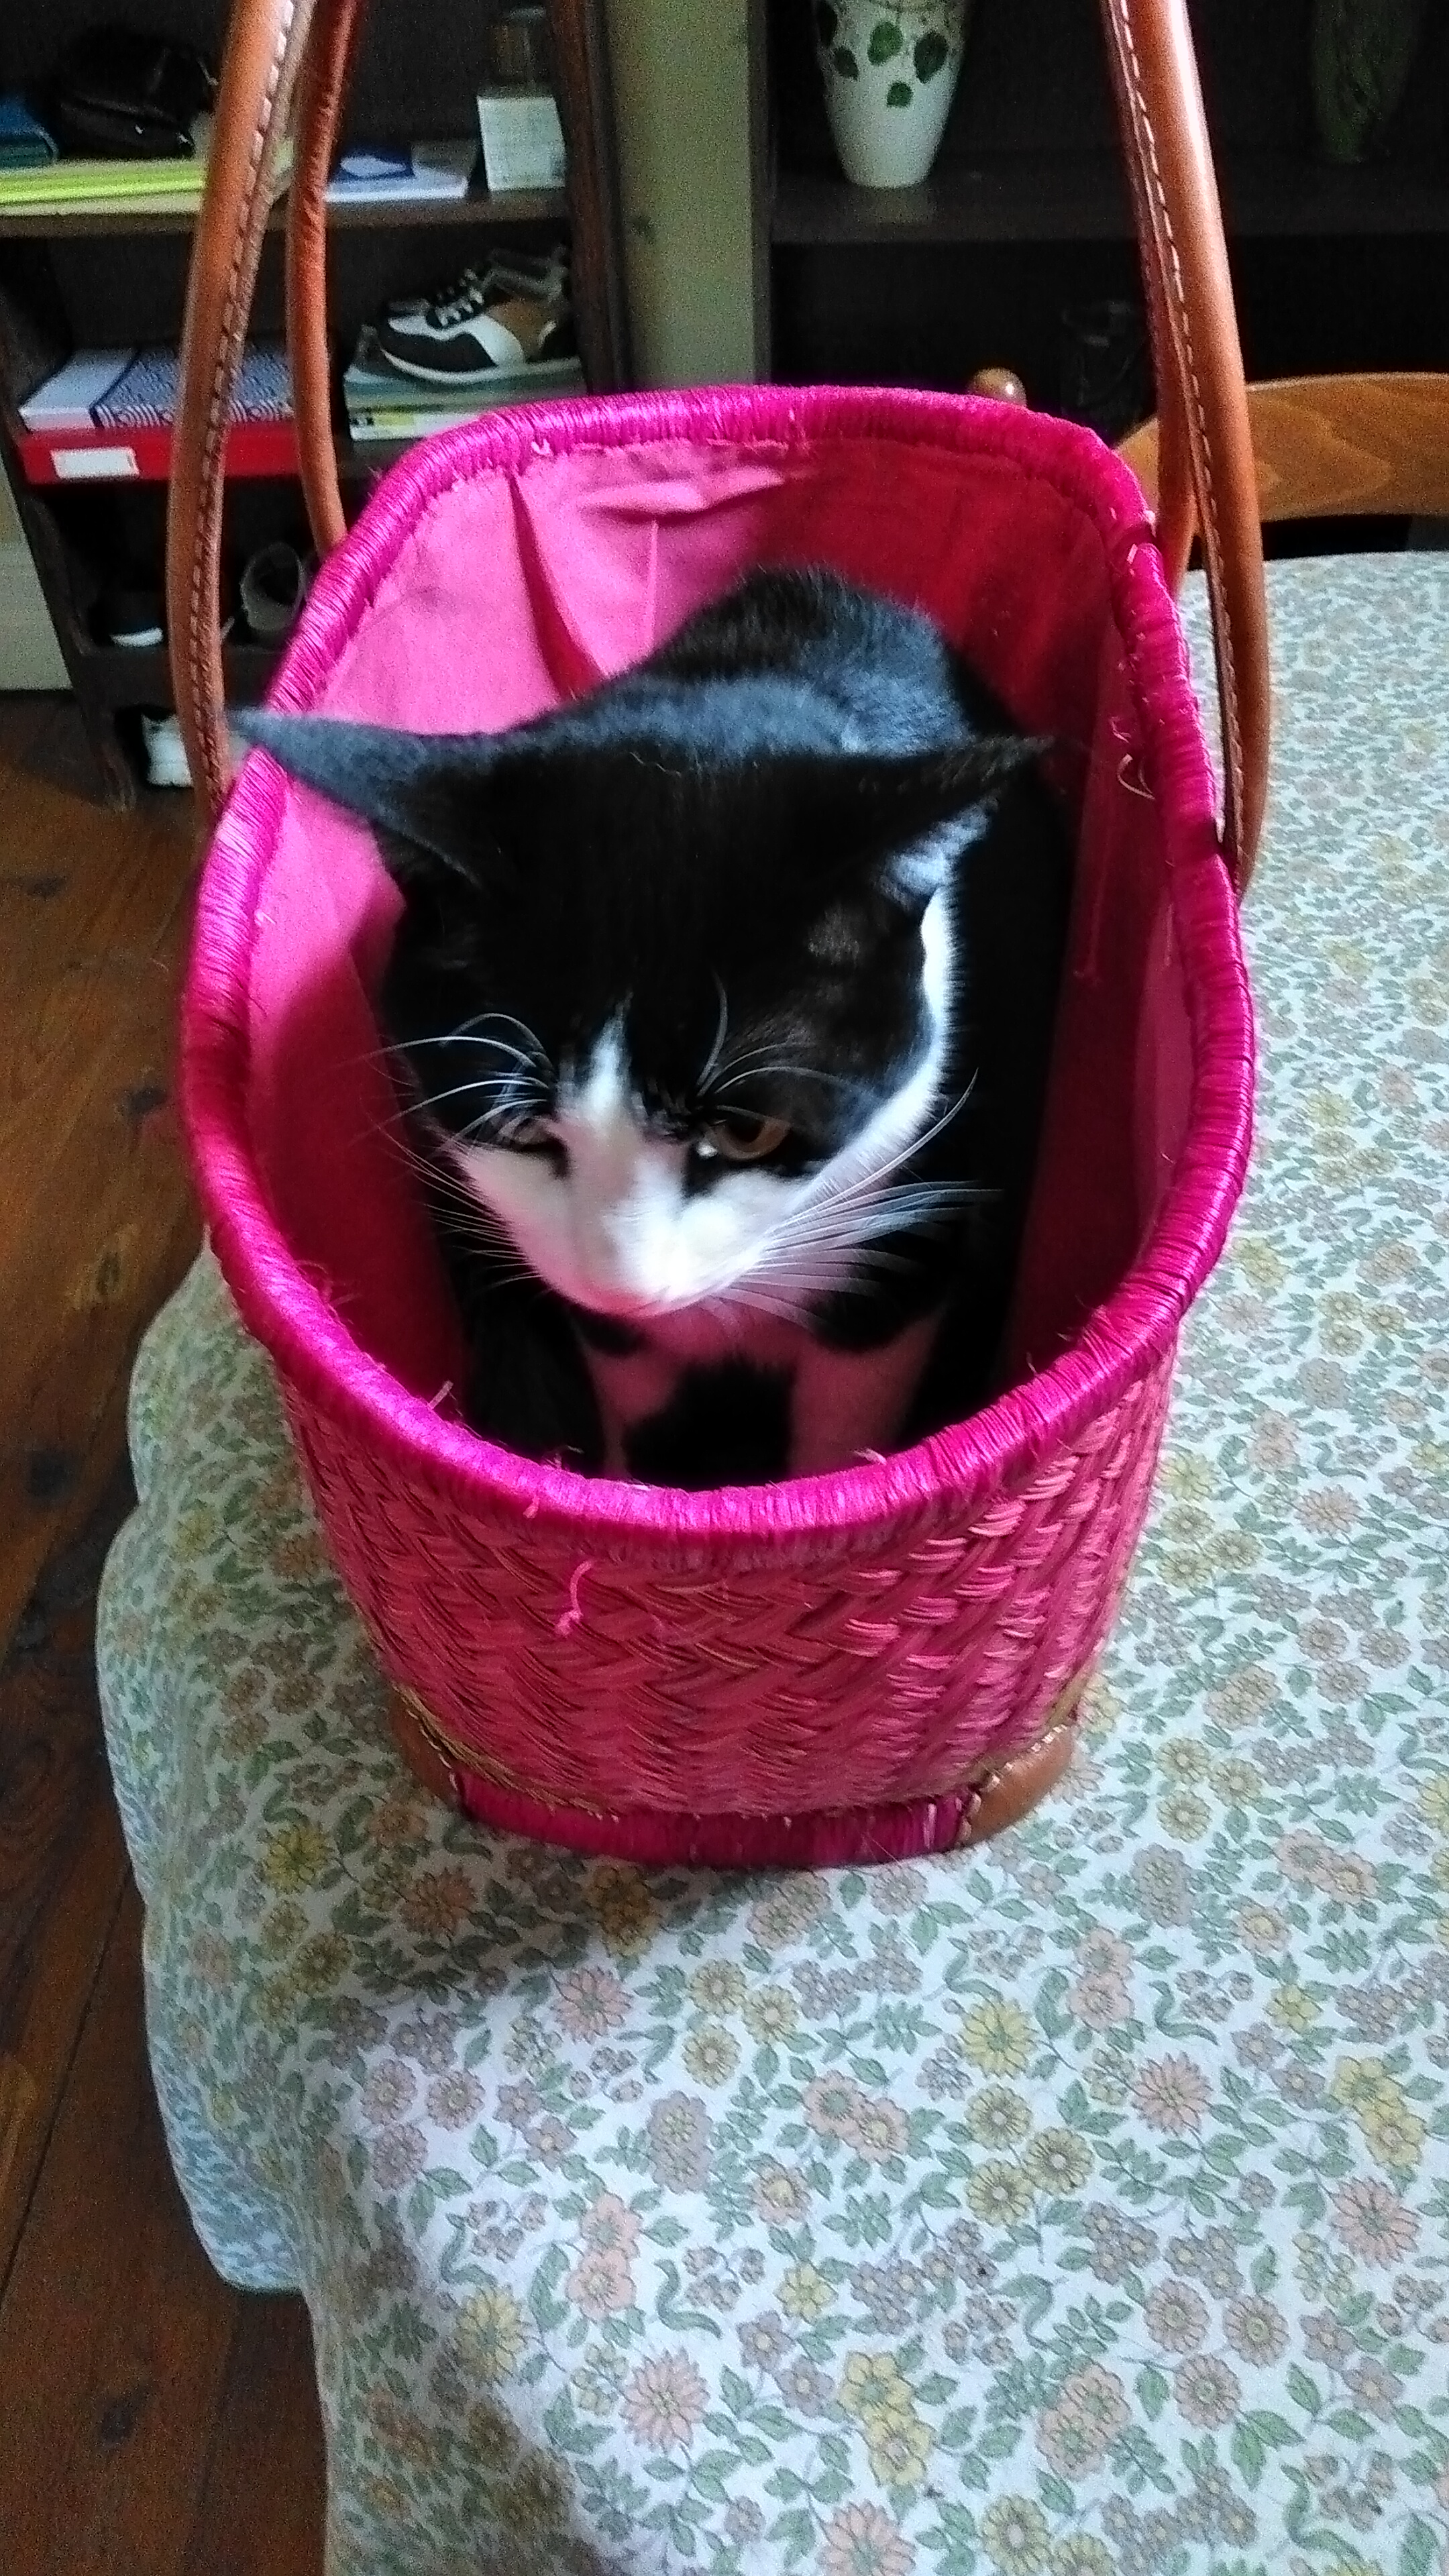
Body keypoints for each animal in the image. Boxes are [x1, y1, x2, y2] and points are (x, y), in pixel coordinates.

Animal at [235, 564, 1070, 1487]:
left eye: (748, 1130)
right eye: (518, 1128)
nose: (626, 1285)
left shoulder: (904, 1230)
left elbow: (845, 1422)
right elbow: (628, 1395)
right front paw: (622, 1494)